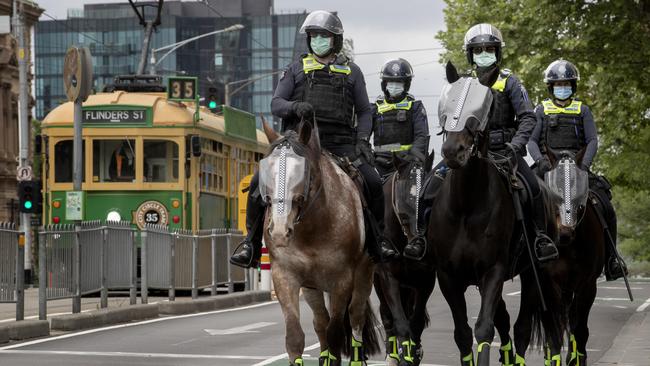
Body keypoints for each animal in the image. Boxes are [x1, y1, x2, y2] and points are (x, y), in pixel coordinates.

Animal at [260, 118, 380, 364]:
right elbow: (295, 337)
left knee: (355, 317)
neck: (311, 228)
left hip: (364, 274)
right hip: (312, 286)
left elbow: (336, 334)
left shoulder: (342, 280)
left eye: (303, 174)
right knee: (321, 322)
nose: (279, 231)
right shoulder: (284, 275)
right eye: (266, 172)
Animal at [372, 154, 432, 366]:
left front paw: (413, 354)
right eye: (403, 200)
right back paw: (392, 355)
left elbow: (416, 322)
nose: (418, 245)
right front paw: (403, 356)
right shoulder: (388, 278)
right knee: (387, 315)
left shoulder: (425, 281)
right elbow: (400, 322)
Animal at [430, 63, 560, 366]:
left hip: (533, 273)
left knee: (522, 328)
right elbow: (463, 334)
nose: (453, 152)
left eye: (483, 109)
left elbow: (484, 329)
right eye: (448, 104)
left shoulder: (493, 271)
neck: (466, 206)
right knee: (505, 319)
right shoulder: (448, 276)